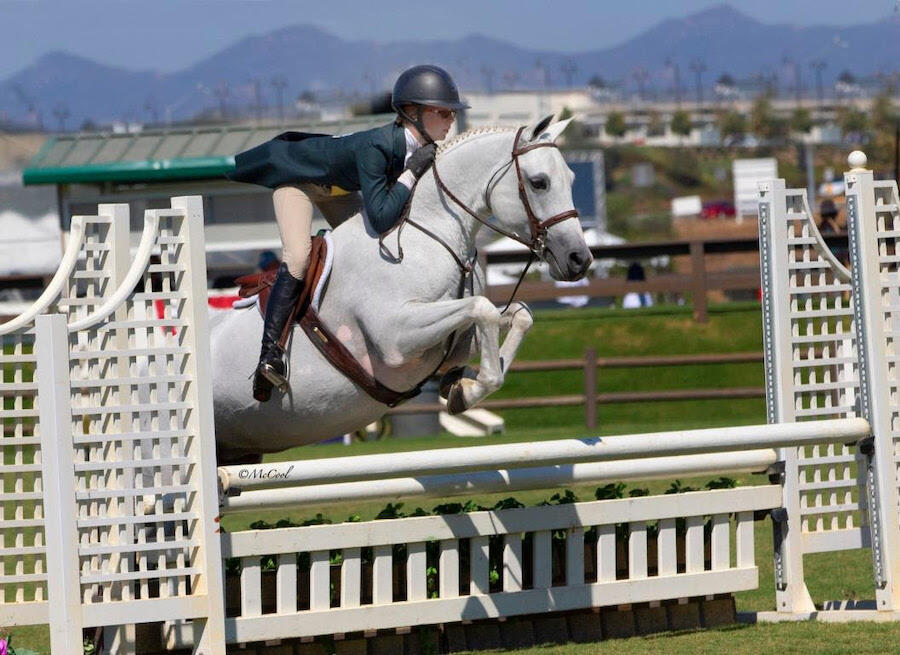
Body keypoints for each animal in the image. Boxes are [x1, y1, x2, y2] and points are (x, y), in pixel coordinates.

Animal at [207, 116, 596, 466]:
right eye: (539, 182)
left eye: (572, 179)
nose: (579, 259)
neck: (430, 233)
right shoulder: (395, 338)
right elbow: (483, 308)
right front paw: (470, 389)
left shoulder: (453, 334)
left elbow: (518, 316)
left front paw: (460, 387)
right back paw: (268, 366)